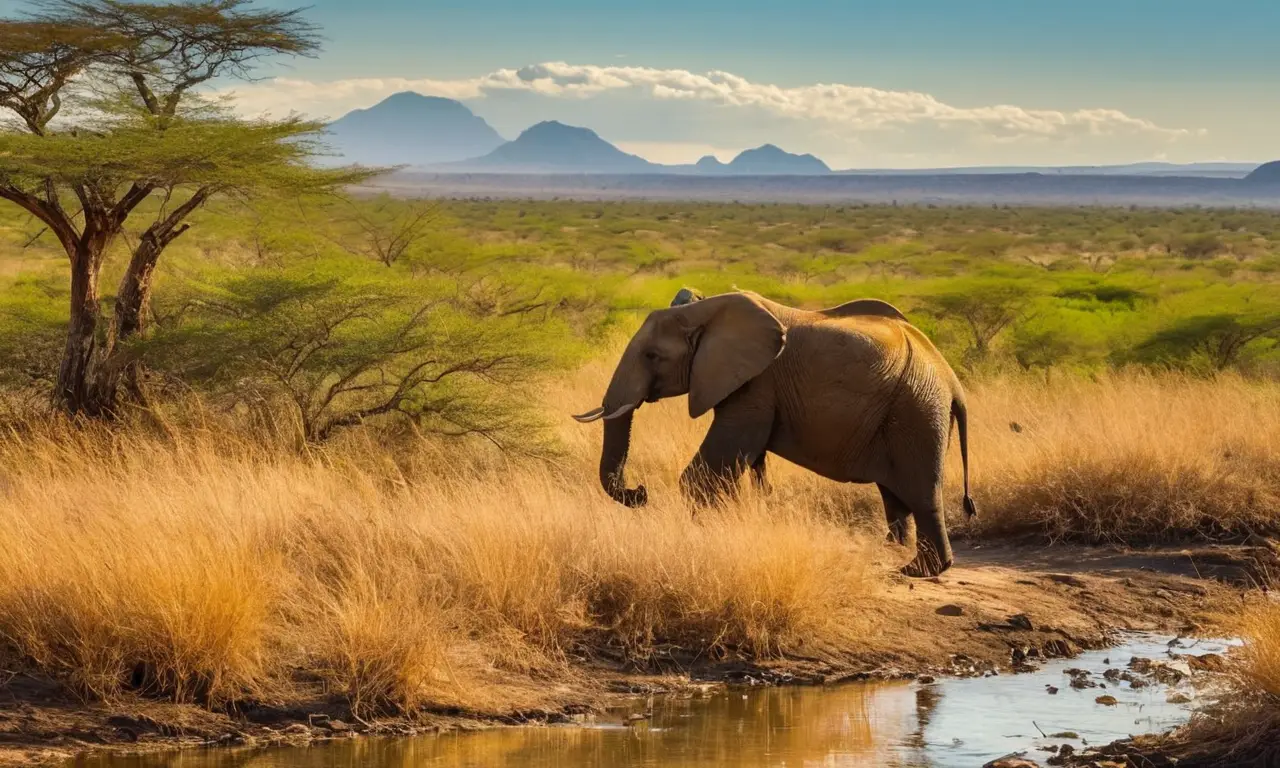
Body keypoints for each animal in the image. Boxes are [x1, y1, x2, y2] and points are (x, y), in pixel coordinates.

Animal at [572, 288, 977, 577]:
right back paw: (892, 553)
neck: (706, 312)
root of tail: (953, 381)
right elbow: (746, 460)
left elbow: (710, 467)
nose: (640, 492)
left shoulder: (758, 384)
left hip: (917, 411)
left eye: (652, 356)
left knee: (921, 493)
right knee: (893, 494)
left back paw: (917, 570)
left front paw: (707, 537)